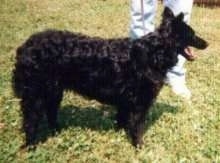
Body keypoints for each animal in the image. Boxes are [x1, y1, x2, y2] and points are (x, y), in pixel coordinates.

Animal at [12, 7, 208, 147]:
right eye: (192, 34)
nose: (207, 43)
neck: (152, 52)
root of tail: (25, 47)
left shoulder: (126, 100)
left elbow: (123, 120)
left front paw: (121, 133)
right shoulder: (140, 102)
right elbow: (137, 126)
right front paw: (139, 146)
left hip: (54, 90)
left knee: (50, 112)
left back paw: (57, 131)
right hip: (36, 94)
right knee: (31, 120)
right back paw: (30, 145)